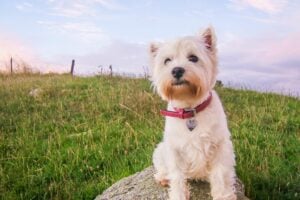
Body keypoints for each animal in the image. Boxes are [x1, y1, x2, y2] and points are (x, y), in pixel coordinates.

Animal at [150, 27, 237, 200]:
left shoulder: (219, 146)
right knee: (162, 167)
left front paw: (223, 195)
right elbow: (177, 176)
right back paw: (163, 178)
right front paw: (178, 195)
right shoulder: (175, 149)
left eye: (193, 58)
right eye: (167, 61)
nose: (177, 70)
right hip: (160, 149)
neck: (190, 110)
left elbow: (220, 174)